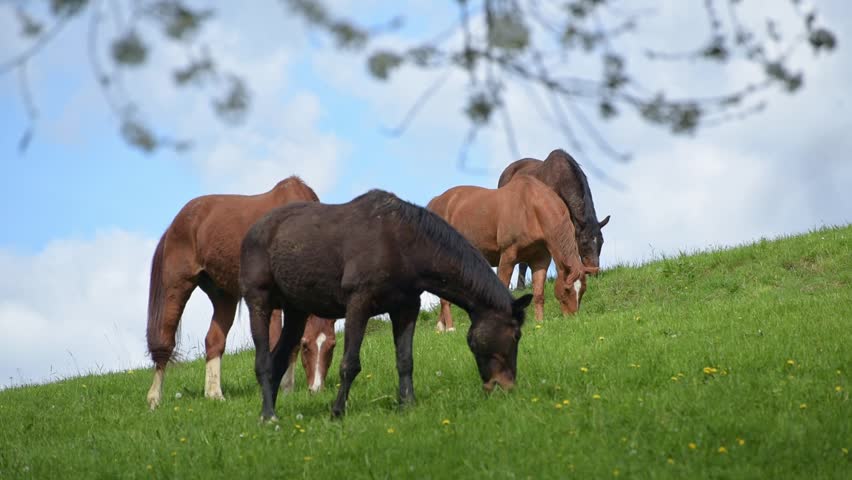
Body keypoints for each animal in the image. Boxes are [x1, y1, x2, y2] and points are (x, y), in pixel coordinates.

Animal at [145, 176, 336, 409]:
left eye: (332, 347)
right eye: (307, 346)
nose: (316, 390)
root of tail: (175, 222)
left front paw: (287, 390)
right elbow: (277, 342)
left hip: (223, 296)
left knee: (213, 341)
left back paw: (214, 395)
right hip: (176, 287)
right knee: (165, 342)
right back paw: (154, 398)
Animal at [240, 189, 533, 420]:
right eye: (516, 335)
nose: (506, 386)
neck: (400, 242)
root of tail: (253, 232)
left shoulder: (406, 309)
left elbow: (405, 360)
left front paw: (407, 404)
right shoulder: (358, 305)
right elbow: (350, 364)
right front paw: (337, 412)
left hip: (297, 312)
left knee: (278, 360)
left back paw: (268, 412)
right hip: (259, 302)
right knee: (264, 362)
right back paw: (269, 417)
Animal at [428, 176, 599, 330]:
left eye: (582, 290)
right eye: (567, 290)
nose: (573, 318)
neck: (530, 209)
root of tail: (434, 203)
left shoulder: (540, 259)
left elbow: (539, 294)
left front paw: (540, 323)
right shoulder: (507, 256)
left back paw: (441, 327)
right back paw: (450, 328)